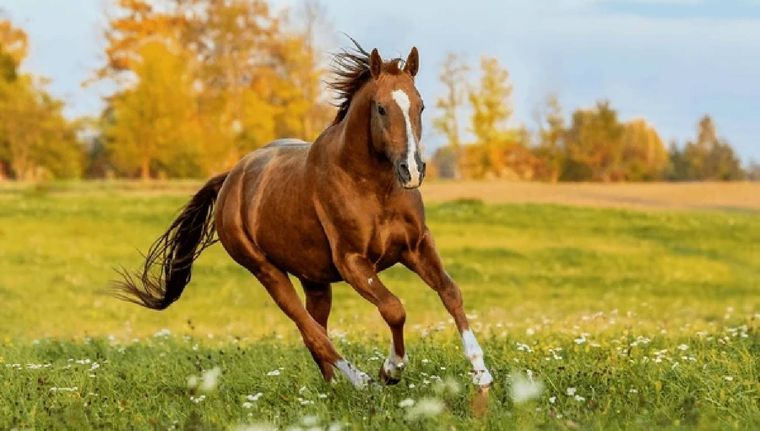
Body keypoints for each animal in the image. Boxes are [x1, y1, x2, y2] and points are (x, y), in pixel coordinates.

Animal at [115, 40, 493, 390]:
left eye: (421, 105)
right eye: (382, 108)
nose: (412, 170)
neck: (373, 187)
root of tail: (230, 179)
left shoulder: (416, 246)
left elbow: (450, 292)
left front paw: (481, 373)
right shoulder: (353, 262)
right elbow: (393, 308)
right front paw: (390, 370)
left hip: (315, 280)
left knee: (315, 330)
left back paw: (334, 388)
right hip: (268, 272)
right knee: (311, 331)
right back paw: (362, 383)